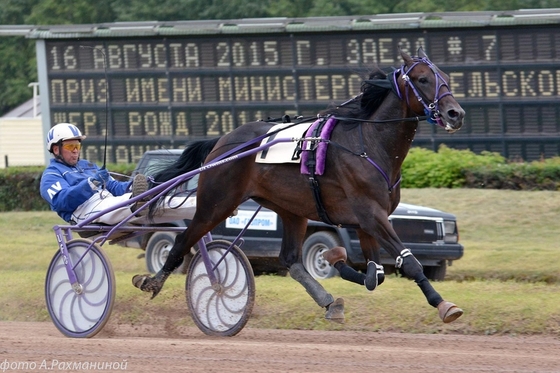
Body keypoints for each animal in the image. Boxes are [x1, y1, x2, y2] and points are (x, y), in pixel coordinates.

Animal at [133, 48, 466, 322]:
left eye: (446, 77)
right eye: (422, 79)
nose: (456, 113)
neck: (369, 144)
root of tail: (223, 142)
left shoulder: (367, 220)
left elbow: (376, 275)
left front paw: (335, 259)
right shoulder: (371, 214)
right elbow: (409, 263)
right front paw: (443, 304)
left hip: (291, 210)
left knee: (290, 260)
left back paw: (328, 301)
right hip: (216, 203)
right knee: (182, 240)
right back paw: (152, 281)